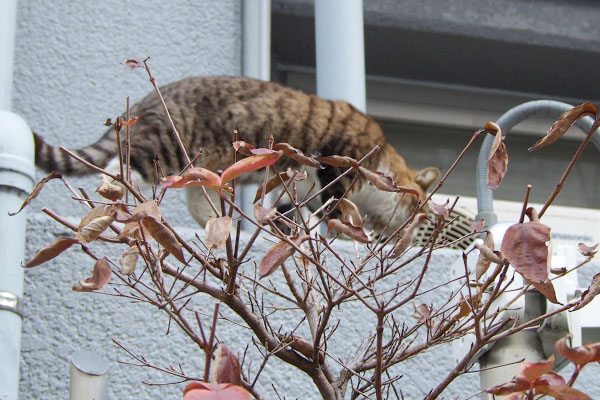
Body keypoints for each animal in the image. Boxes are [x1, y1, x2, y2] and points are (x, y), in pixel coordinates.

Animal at [36, 76, 440, 231]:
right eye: (419, 209)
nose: (414, 230)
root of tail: (148, 98)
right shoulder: (337, 166)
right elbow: (333, 207)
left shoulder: (297, 185)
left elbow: (290, 209)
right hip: (168, 147)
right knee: (119, 166)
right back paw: (114, 195)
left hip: (199, 166)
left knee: (197, 200)